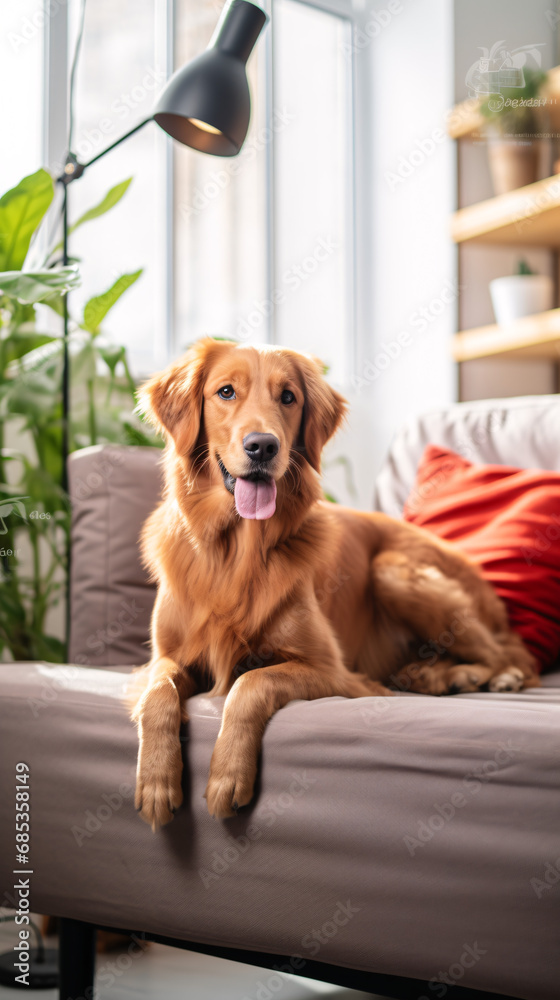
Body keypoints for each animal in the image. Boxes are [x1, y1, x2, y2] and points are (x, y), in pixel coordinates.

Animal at [130, 336, 540, 828]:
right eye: (226, 392)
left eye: (288, 397)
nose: (263, 446)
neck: (237, 553)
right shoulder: (165, 657)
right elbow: (157, 694)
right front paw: (156, 780)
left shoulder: (332, 670)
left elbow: (250, 684)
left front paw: (228, 774)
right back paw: (433, 675)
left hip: (393, 571)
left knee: (512, 657)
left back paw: (488, 677)